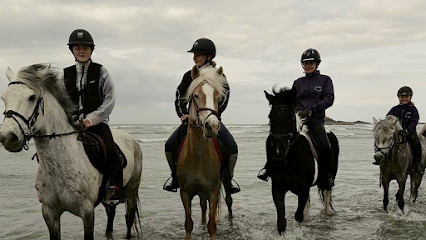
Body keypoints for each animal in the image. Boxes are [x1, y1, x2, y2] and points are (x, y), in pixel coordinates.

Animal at [0, 64, 143, 240]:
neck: (60, 164)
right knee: (111, 214)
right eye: (4, 98)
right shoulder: (49, 212)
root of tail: (132, 139)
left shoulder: (87, 211)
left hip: (131, 190)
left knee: (129, 218)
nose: (8, 137)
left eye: (31, 97)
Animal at [176, 64, 230, 239]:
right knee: (202, 206)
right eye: (196, 95)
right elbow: (188, 224)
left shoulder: (213, 191)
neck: (197, 155)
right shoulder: (185, 193)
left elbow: (212, 226)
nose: (212, 126)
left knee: (229, 201)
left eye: (218, 97)